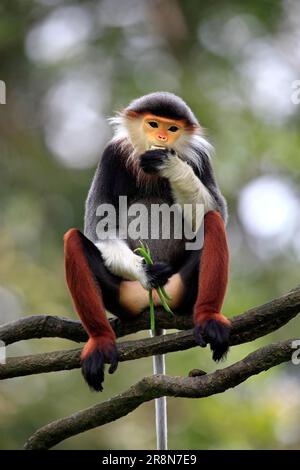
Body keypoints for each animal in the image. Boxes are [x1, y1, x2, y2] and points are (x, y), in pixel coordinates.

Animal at [64, 92, 231, 392]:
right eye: (153, 124)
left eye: (172, 128)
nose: (162, 138)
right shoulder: (111, 156)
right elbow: (98, 229)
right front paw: (147, 271)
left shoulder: (199, 158)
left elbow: (218, 212)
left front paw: (171, 165)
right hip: (123, 296)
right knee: (72, 238)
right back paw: (100, 342)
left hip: (180, 290)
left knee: (212, 220)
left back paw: (209, 318)